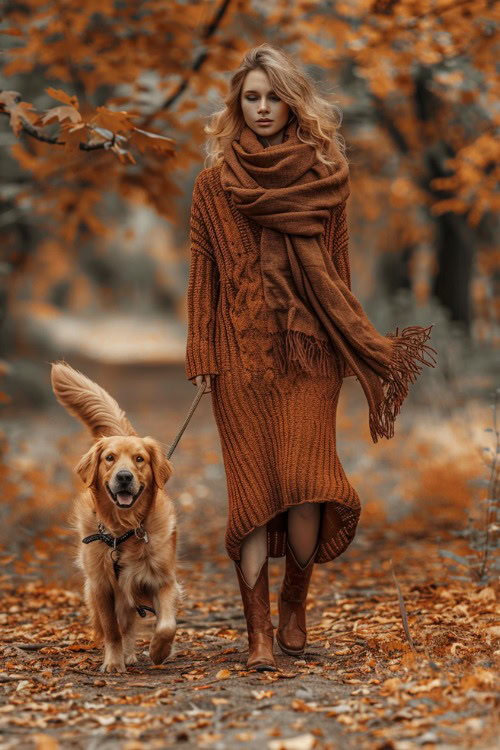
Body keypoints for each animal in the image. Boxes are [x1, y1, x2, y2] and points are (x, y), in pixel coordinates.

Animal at [50, 362, 180, 672]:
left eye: (139, 459)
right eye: (109, 458)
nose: (124, 477)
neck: (124, 530)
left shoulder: (164, 579)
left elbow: (167, 624)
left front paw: (159, 650)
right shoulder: (102, 587)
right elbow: (112, 630)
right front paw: (113, 662)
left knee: (132, 624)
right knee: (122, 625)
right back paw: (124, 655)